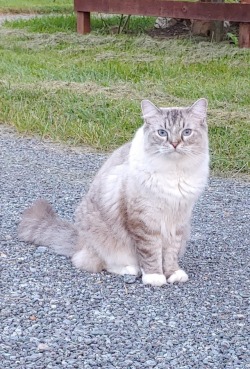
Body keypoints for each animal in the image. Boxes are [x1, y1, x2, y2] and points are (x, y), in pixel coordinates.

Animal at [18, 99, 209, 286]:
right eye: (162, 132)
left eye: (186, 132)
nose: (175, 144)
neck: (174, 173)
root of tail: (80, 241)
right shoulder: (144, 222)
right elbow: (150, 253)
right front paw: (155, 277)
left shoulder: (178, 221)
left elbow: (170, 254)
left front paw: (173, 273)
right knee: (94, 262)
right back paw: (131, 269)